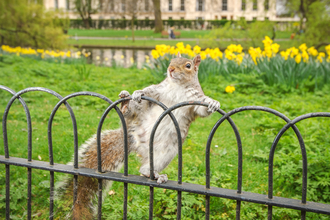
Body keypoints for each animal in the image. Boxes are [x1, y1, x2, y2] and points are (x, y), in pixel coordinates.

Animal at [55, 52, 220, 218]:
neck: (177, 86)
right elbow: (149, 90)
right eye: (171, 61)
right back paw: (125, 105)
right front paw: (139, 92)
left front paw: (213, 103)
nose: (171, 69)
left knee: (145, 169)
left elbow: (202, 109)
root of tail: (134, 139)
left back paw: (155, 174)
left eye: (188, 65)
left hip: (166, 152)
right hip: (139, 113)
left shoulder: (195, 100)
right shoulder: (158, 89)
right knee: (130, 113)